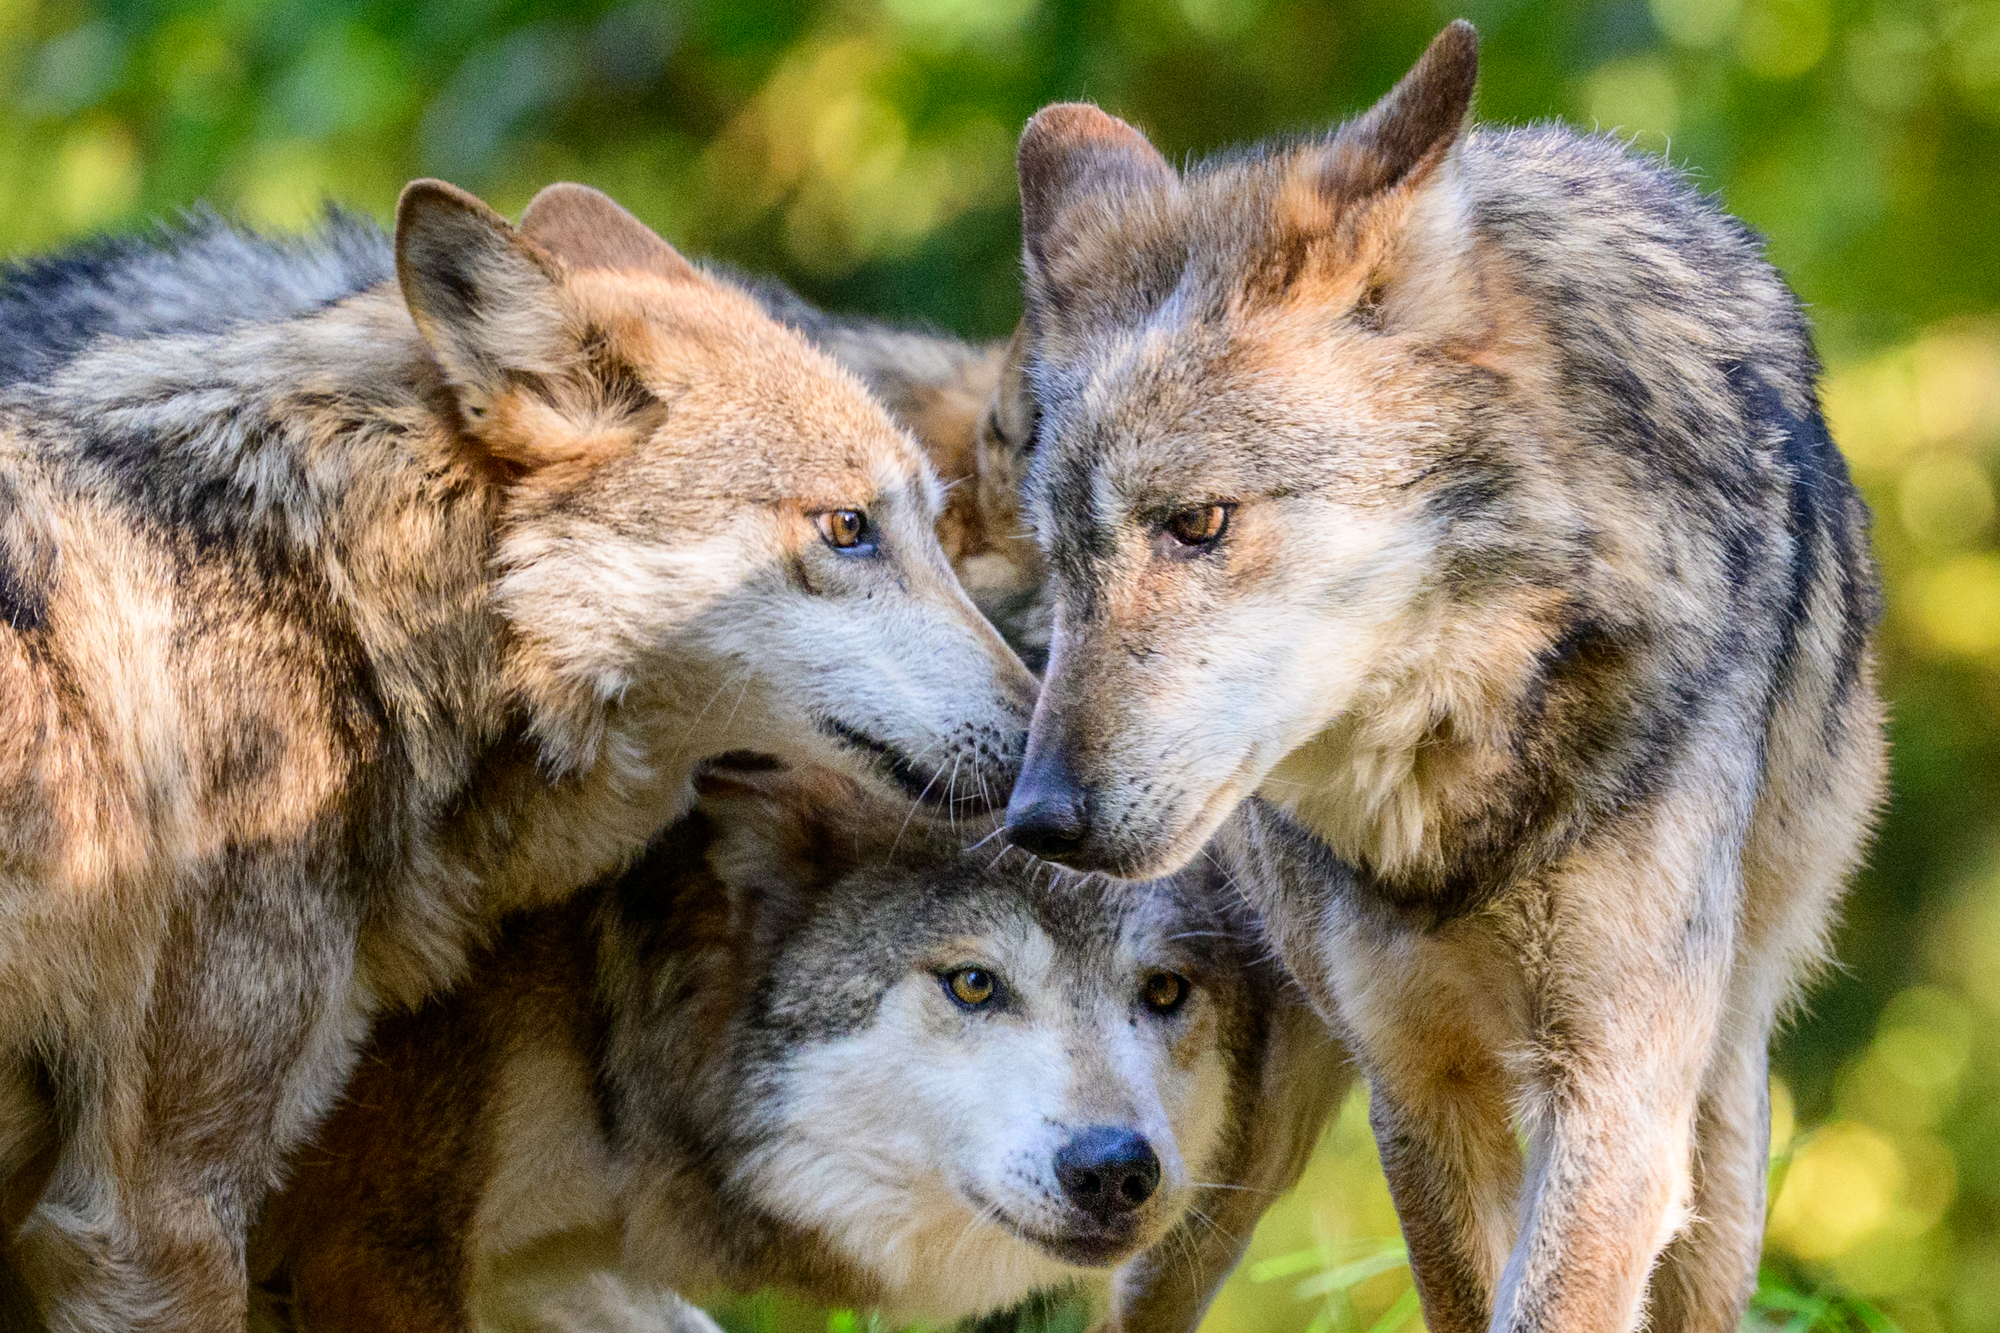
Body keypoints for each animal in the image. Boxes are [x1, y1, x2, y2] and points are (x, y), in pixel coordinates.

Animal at [999, 21, 1886, 1333]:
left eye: (1196, 523)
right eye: (1064, 562)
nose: (1037, 821)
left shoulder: (1614, 1094)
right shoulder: (1419, 1088)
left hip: (1717, 1125)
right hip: (1215, 1161)